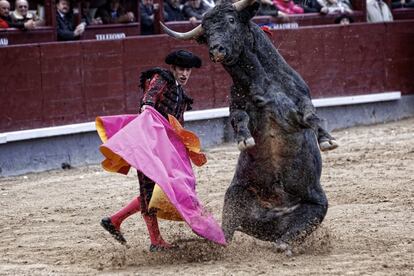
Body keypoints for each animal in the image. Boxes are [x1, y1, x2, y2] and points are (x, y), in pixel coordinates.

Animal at [160, 0, 334, 253]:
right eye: (207, 32)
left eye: (232, 20)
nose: (216, 50)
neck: (263, 84)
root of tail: (273, 221)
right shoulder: (238, 107)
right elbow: (238, 118)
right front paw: (245, 139)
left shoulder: (299, 104)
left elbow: (312, 116)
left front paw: (326, 139)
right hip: (233, 197)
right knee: (228, 233)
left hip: (318, 206)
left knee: (289, 236)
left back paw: (285, 244)